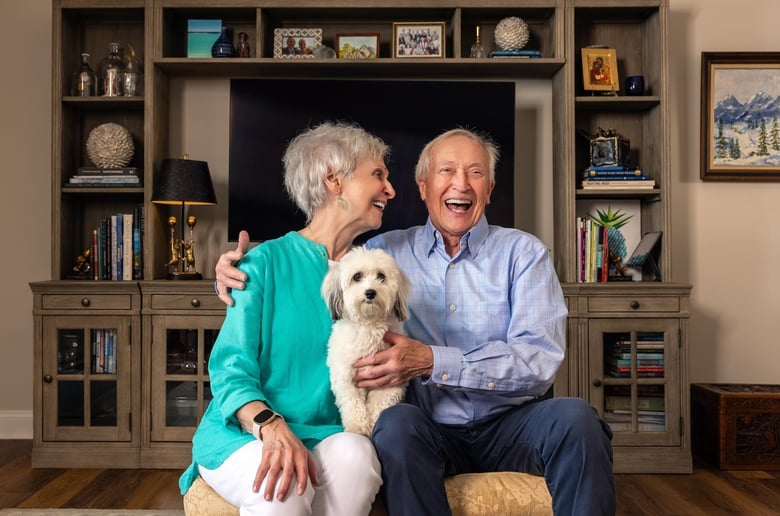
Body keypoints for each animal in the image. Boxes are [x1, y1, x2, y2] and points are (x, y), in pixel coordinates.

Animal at [322, 246, 412, 436]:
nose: (370, 292)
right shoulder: (345, 377)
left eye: (381, 276)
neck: (369, 325)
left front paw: (373, 423)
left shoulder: (391, 378)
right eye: (357, 276)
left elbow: (380, 402)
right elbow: (352, 403)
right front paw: (358, 427)